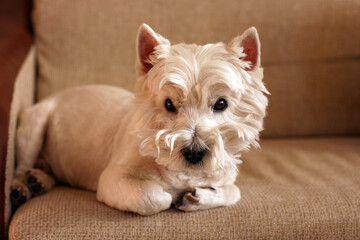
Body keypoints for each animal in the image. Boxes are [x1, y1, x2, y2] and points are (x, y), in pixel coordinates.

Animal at [10, 24, 268, 216]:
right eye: (169, 104)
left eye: (221, 103)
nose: (195, 153)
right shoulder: (112, 178)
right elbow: (155, 196)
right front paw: (171, 192)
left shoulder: (226, 174)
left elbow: (233, 191)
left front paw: (200, 196)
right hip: (34, 127)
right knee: (20, 167)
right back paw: (23, 187)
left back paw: (39, 180)